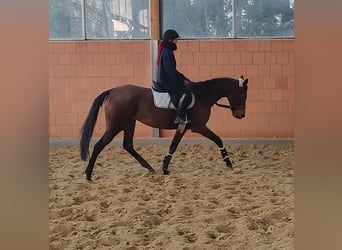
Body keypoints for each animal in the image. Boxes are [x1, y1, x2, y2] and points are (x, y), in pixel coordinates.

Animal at [82, 75, 250, 181]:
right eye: (243, 95)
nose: (241, 115)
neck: (202, 95)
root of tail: (112, 91)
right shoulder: (199, 127)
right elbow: (218, 139)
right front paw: (228, 163)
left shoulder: (183, 127)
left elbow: (173, 145)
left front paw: (164, 167)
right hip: (115, 125)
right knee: (99, 145)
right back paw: (88, 174)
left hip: (129, 123)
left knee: (128, 145)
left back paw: (149, 167)